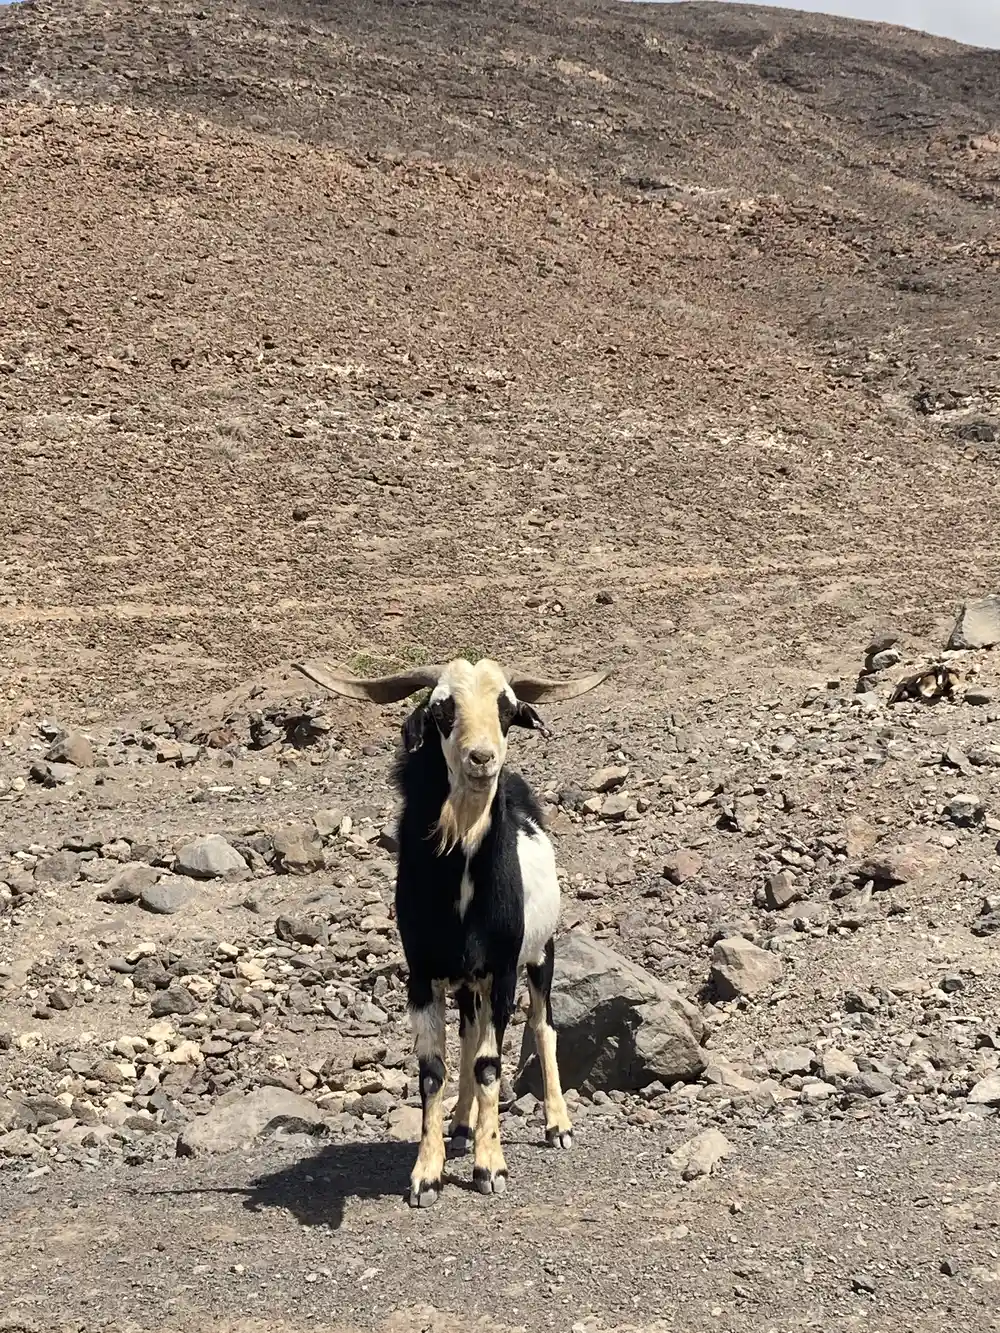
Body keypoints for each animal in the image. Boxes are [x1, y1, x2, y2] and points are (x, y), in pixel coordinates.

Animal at [295, 655, 609, 1207]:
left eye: (507, 708)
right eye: (443, 709)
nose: (482, 759)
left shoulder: (502, 970)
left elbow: (490, 1064)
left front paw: (491, 1167)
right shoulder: (423, 974)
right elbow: (433, 1070)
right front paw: (427, 1174)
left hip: (539, 955)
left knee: (541, 1026)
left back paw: (556, 1125)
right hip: (466, 981)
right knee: (468, 1032)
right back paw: (462, 1127)